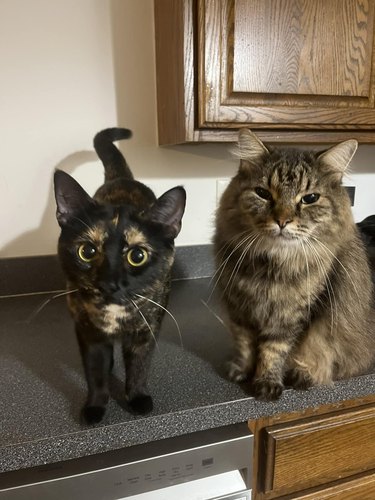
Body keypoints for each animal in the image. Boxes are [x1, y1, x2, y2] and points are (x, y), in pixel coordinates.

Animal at [54, 128, 187, 422]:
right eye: (87, 251)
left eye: (137, 256)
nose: (109, 282)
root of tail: (122, 178)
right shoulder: (88, 333)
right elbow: (95, 373)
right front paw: (94, 407)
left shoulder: (146, 330)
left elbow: (139, 367)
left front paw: (137, 398)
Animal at [214, 130, 375, 402]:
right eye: (263, 193)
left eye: (310, 198)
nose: (282, 221)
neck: (271, 265)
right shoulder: (240, 308)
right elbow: (245, 345)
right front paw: (241, 370)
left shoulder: (290, 316)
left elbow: (274, 350)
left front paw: (267, 383)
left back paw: (302, 376)